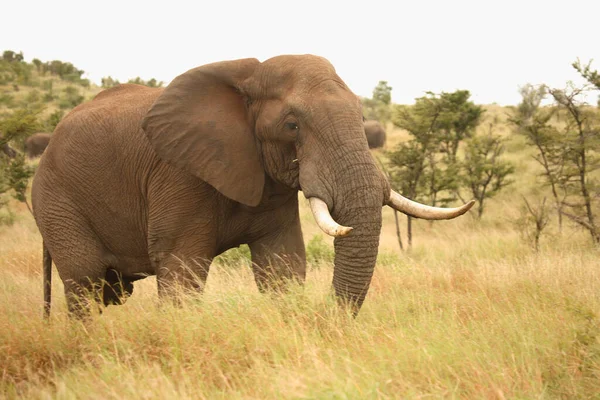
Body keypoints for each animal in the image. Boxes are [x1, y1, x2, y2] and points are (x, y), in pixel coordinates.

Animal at [32, 55, 474, 318]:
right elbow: (181, 266)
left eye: (361, 115)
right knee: (85, 282)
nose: (327, 317)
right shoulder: (178, 173)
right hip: (56, 198)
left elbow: (282, 264)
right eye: (292, 125)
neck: (248, 75)